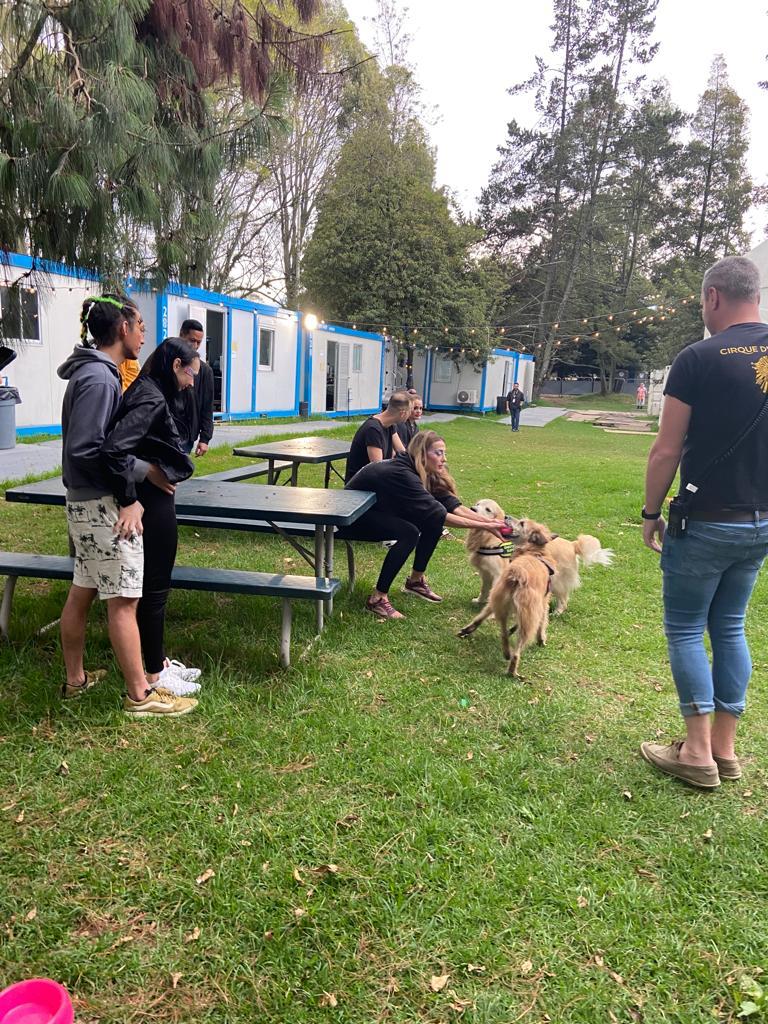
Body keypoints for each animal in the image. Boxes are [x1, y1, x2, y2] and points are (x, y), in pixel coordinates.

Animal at [460, 520, 557, 679]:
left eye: (522, 523)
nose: (506, 517)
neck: (535, 552)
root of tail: (518, 574)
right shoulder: (542, 604)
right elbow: (542, 623)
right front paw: (541, 639)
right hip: (527, 615)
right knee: (517, 650)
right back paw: (512, 670)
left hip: (498, 600)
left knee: (498, 630)